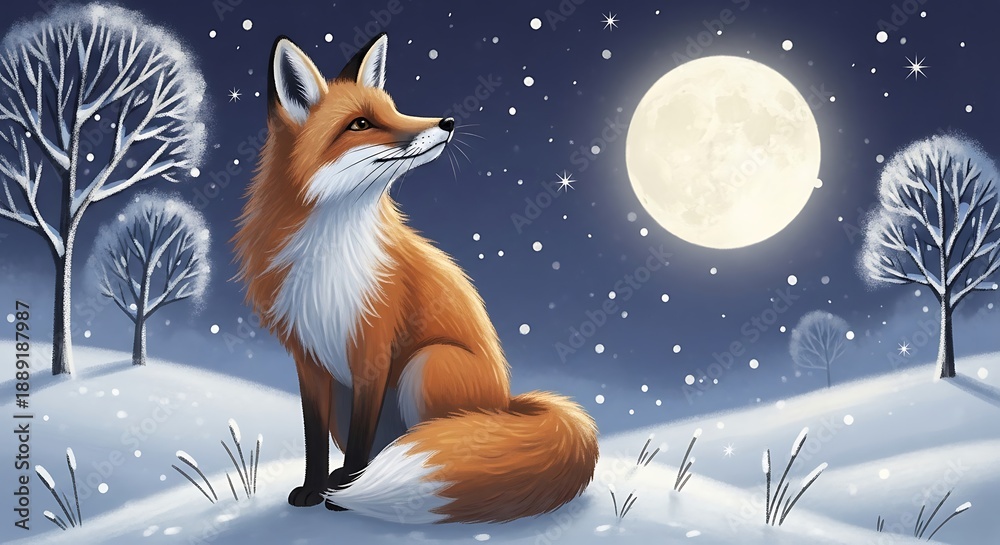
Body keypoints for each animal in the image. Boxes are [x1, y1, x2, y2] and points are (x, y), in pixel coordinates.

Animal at [232, 33, 599, 524]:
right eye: (360, 124)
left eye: (395, 109)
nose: (448, 121)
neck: (329, 256)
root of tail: (507, 404)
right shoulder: (308, 359)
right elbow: (313, 438)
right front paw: (313, 489)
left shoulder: (373, 349)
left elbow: (362, 439)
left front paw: (343, 495)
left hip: (425, 365)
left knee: (422, 440)